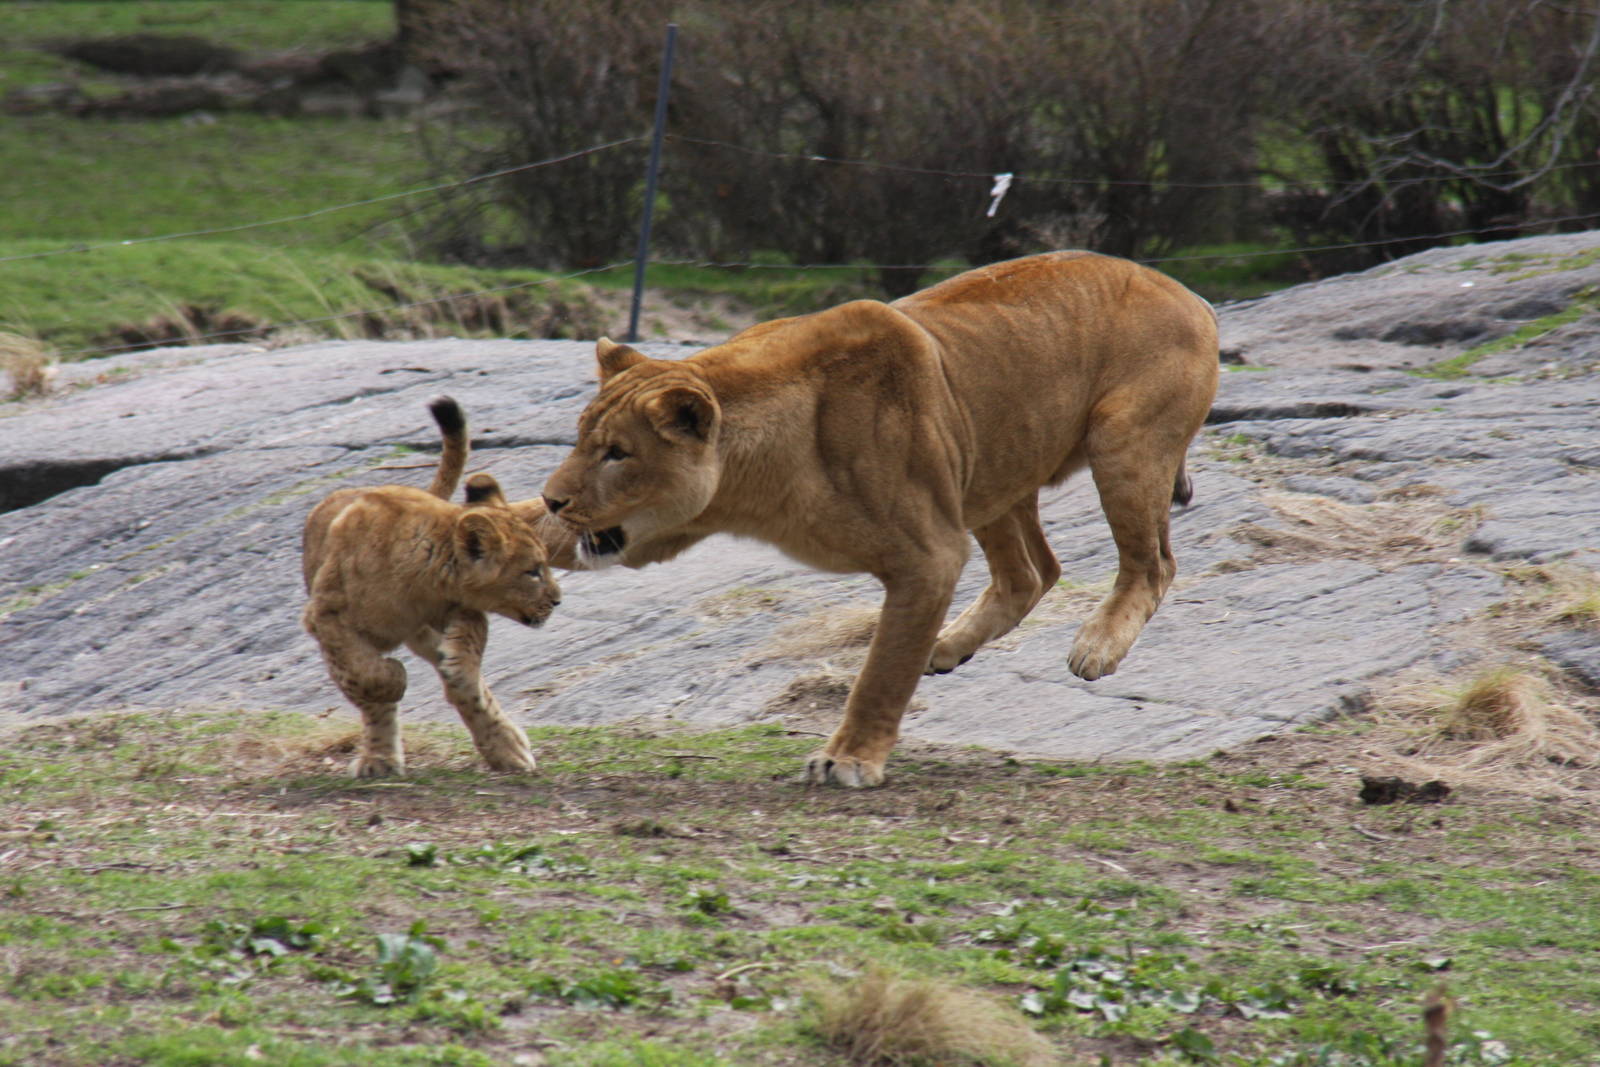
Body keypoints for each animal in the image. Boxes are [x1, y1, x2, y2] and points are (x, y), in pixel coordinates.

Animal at [301, 396, 561, 778]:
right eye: (532, 572)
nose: (557, 600)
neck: (419, 584)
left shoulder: (461, 607)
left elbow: (468, 655)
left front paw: (458, 669)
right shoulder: (324, 617)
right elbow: (365, 675)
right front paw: (393, 677)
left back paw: (506, 747)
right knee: (374, 704)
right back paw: (380, 759)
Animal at [541, 251, 1219, 788]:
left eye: (617, 453)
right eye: (580, 439)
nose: (552, 498)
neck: (750, 480)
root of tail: (1190, 293)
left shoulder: (931, 555)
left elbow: (882, 670)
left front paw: (848, 759)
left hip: (1122, 443)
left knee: (1152, 564)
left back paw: (1096, 646)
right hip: (989, 468)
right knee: (1033, 572)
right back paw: (947, 647)